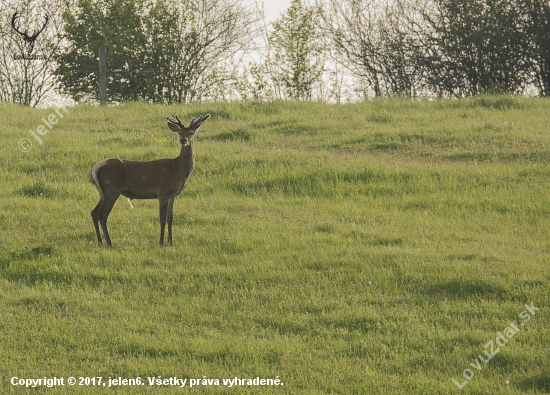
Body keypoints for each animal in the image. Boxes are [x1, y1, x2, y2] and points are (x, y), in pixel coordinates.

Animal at [88, 113, 211, 246]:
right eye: (179, 132)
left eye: (192, 132)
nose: (183, 140)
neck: (179, 170)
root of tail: (93, 169)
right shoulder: (163, 192)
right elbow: (162, 219)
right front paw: (161, 243)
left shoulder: (173, 195)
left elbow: (170, 218)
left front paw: (171, 242)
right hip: (111, 189)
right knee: (102, 215)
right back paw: (109, 243)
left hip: (103, 193)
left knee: (94, 213)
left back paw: (100, 242)